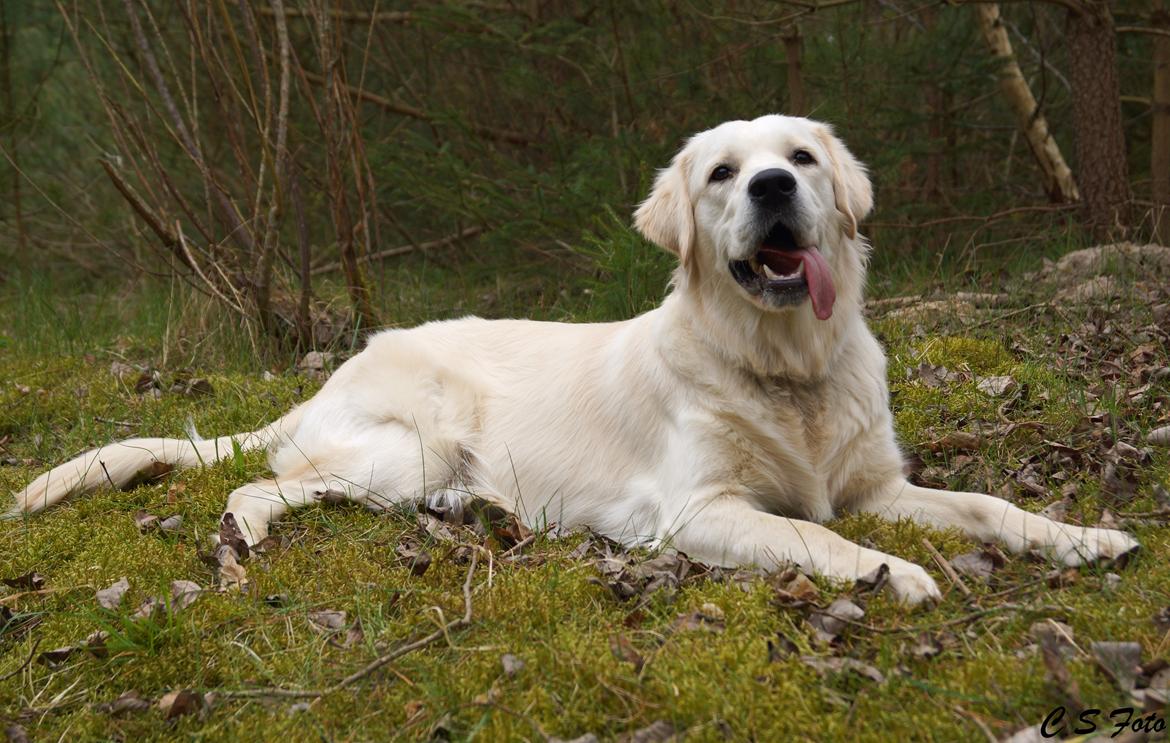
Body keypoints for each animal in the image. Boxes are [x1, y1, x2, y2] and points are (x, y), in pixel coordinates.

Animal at [9, 116, 1137, 603]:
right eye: (723, 173)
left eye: (802, 159)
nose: (773, 186)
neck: (784, 363)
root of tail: (349, 359)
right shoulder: (700, 511)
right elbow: (813, 535)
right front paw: (891, 569)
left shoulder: (877, 483)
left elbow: (986, 505)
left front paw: (1080, 535)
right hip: (404, 446)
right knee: (256, 484)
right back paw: (243, 546)